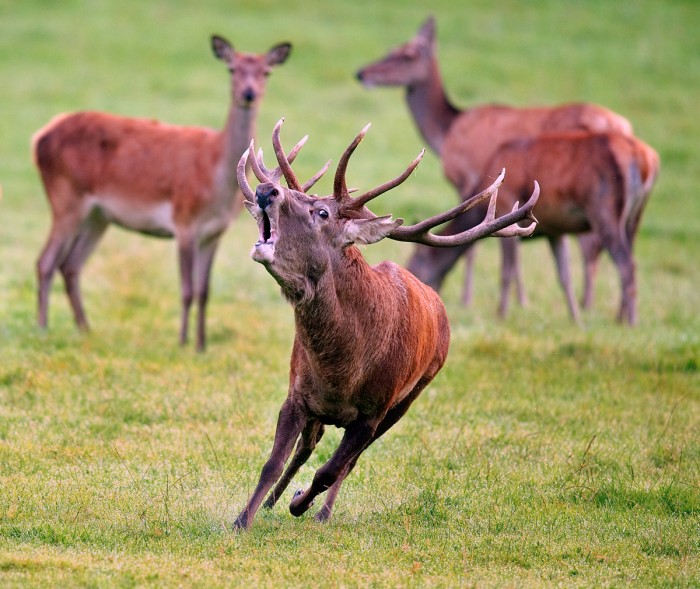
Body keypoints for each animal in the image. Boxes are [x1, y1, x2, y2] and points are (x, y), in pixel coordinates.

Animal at [32, 33, 292, 350]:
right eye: (232, 69)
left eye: (266, 72)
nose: (249, 94)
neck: (217, 180)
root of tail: (40, 136)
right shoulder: (184, 222)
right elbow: (187, 289)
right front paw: (182, 342)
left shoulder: (215, 232)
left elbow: (205, 291)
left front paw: (201, 345)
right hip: (65, 197)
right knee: (45, 261)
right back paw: (43, 327)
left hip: (98, 215)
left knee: (70, 265)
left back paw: (85, 329)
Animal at [232, 119, 540, 528]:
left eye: (321, 213)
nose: (267, 189)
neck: (342, 370)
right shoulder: (298, 394)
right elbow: (273, 462)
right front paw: (243, 519)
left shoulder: (373, 412)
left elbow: (330, 470)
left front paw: (301, 504)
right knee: (307, 448)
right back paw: (273, 503)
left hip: (408, 398)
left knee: (345, 463)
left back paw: (321, 512)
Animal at [358, 14, 636, 316]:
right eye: (393, 48)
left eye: (407, 54)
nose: (361, 73)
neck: (446, 132)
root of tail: (624, 126)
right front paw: (521, 302)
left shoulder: (468, 179)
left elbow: (477, 249)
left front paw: (474, 300)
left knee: (598, 250)